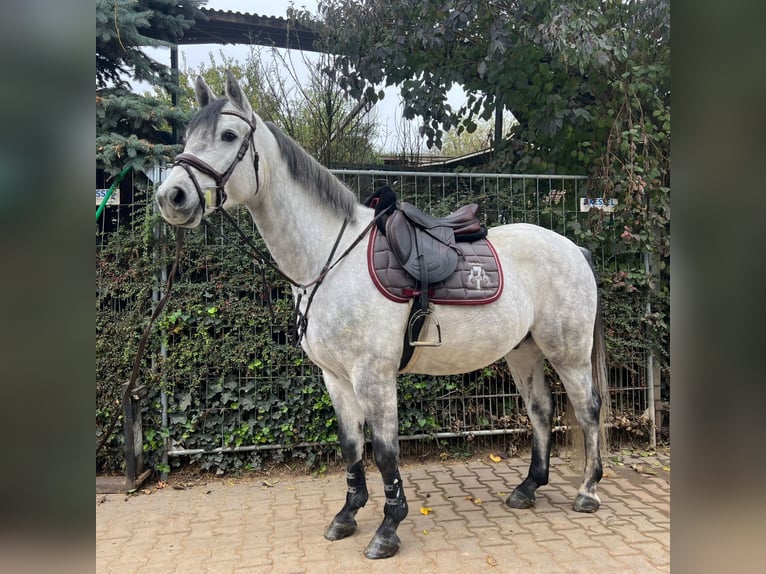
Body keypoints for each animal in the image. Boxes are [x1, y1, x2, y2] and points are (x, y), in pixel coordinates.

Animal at [156, 72, 608, 564]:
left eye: (228, 135)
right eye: (188, 136)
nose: (171, 196)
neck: (330, 260)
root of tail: (574, 248)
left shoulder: (373, 375)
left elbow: (387, 452)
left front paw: (388, 529)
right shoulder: (335, 376)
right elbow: (352, 446)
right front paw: (347, 514)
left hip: (568, 352)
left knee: (587, 409)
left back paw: (587, 491)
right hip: (523, 351)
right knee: (541, 409)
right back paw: (528, 488)